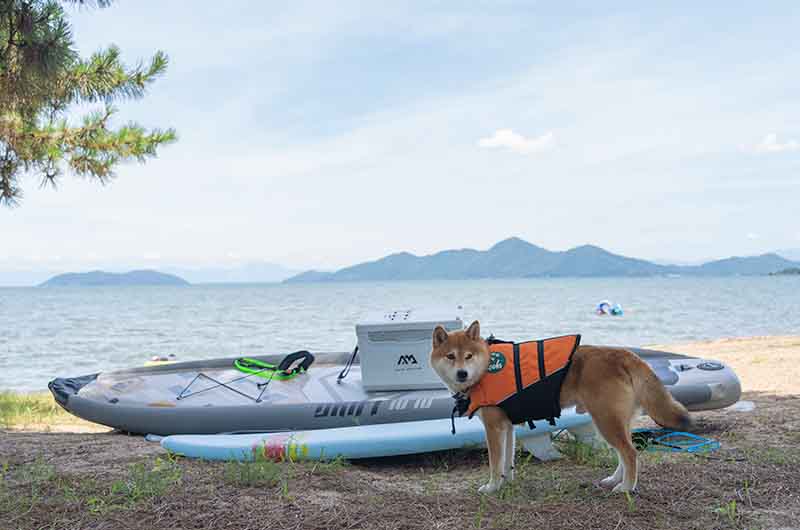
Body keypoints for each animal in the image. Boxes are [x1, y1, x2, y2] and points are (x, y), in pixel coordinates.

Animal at [428, 320, 692, 492]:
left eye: (468, 356)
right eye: (450, 356)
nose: (462, 374)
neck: (484, 371)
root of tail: (624, 354)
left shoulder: (494, 428)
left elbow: (494, 462)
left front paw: (492, 487)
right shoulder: (507, 427)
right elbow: (506, 461)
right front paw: (507, 482)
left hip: (605, 420)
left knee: (630, 453)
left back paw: (626, 487)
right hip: (616, 420)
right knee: (624, 453)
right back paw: (614, 480)